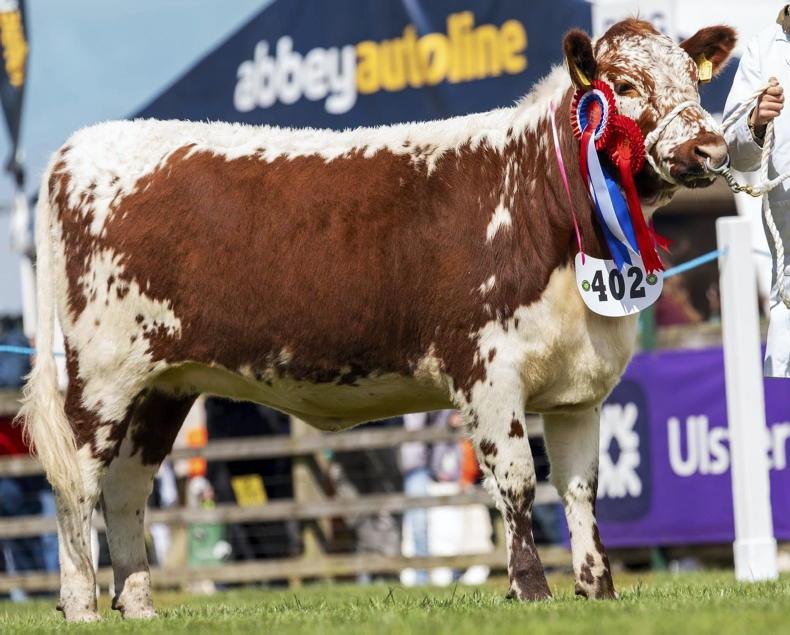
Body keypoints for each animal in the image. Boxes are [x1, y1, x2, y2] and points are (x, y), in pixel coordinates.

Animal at [20, 19, 736, 622]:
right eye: (624, 85)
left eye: (695, 77)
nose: (710, 146)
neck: (541, 198)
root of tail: (80, 145)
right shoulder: (487, 369)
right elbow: (517, 482)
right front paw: (530, 590)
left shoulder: (578, 388)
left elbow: (580, 488)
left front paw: (597, 590)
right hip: (102, 374)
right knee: (76, 482)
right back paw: (80, 605)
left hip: (163, 384)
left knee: (126, 488)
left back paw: (138, 605)